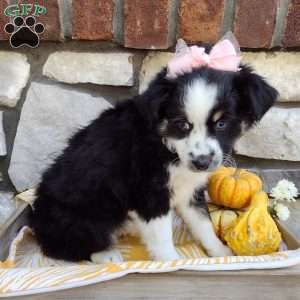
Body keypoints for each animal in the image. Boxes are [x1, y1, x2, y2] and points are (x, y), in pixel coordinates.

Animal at [29, 63, 276, 262]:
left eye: (222, 123)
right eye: (182, 124)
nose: (202, 163)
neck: (168, 147)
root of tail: (36, 221)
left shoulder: (189, 191)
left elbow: (203, 224)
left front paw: (220, 252)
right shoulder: (148, 192)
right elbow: (162, 234)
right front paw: (171, 263)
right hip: (87, 216)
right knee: (62, 247)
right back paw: (106, 254)